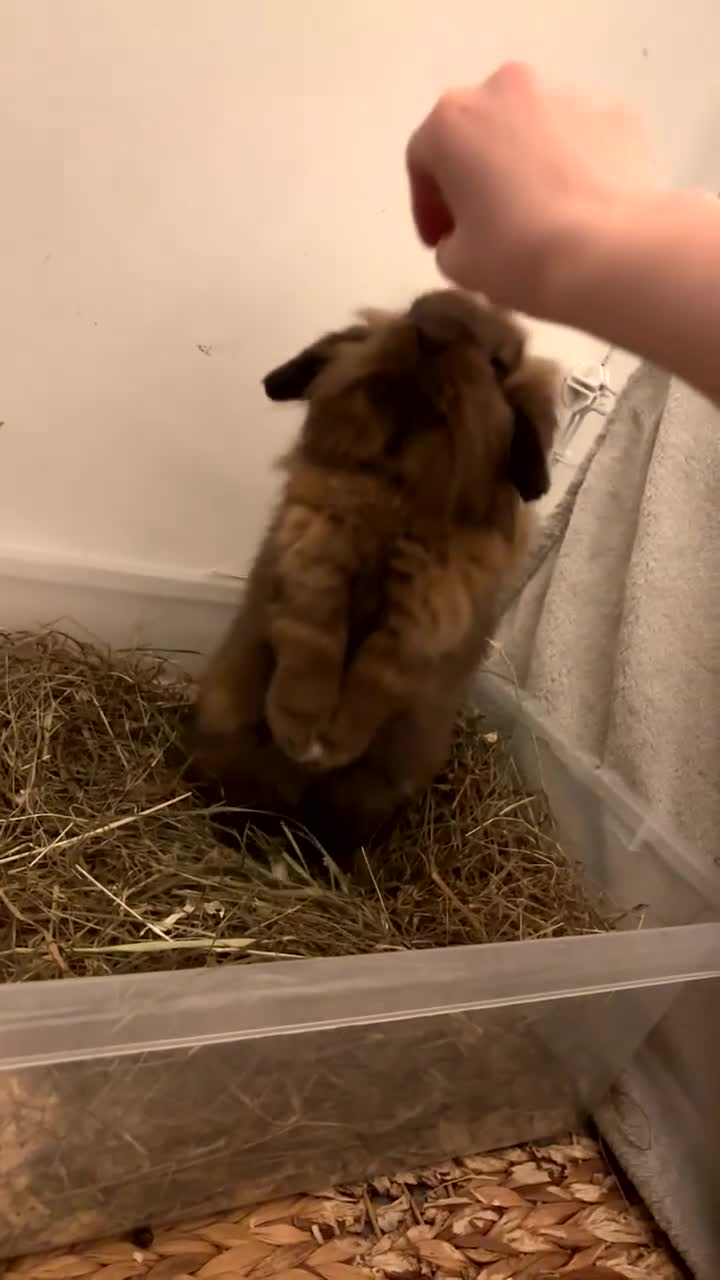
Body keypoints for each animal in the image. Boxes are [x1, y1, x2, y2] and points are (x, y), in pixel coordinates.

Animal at [188, 288, 559, 856]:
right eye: (412, 312)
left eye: (498, 363)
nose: (434, 329)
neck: (398, 490)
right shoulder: (312, 569)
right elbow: (311, 653)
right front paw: (301, 736)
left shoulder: (421, 622)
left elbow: (372, 683)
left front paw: (330, 747)